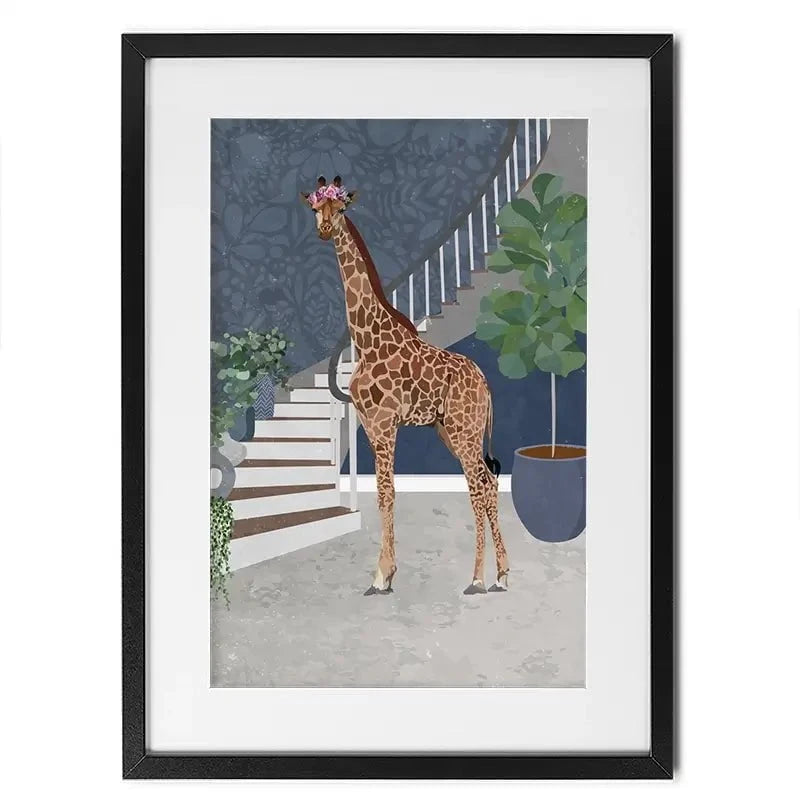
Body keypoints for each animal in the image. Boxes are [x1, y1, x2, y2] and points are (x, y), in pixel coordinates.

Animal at [301, 178, 509, 596]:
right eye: (316, 209)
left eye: (341, 209)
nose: (325, 230)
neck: (365, 338)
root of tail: (485, 383)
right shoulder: (369, 426)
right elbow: (384, 494)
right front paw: (387, 572)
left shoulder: (384, 424)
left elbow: (387, 491)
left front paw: (382, 575)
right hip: (452, 430)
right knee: (488, 483)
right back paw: (502, 575)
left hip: (465, 430)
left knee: (478, 487)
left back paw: (477, 578)